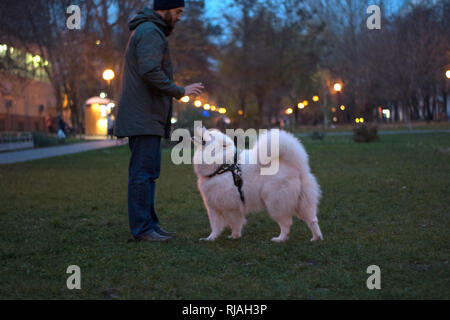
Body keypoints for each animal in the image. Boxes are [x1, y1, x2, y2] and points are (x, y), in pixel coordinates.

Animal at [192, 127, 322, 242]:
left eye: (210, 134)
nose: (202, 127)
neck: (222, 167)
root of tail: (295, 167)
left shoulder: (231, 207)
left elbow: (234, 223)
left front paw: (234, 236)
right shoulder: (213, 207)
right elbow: (215, 227)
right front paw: (210, 238)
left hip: (276, 203)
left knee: (286, 224)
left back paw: (280, 239)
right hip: (303, 204)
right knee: (312, 220)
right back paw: (316, 238)